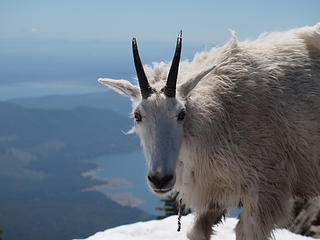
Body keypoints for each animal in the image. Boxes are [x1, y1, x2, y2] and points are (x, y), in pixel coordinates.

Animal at [99, 23, 320, 240]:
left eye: (181, 114)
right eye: (137, 116)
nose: (160, 179)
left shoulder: (266, 189)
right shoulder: (214, 195)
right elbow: (196, 232)